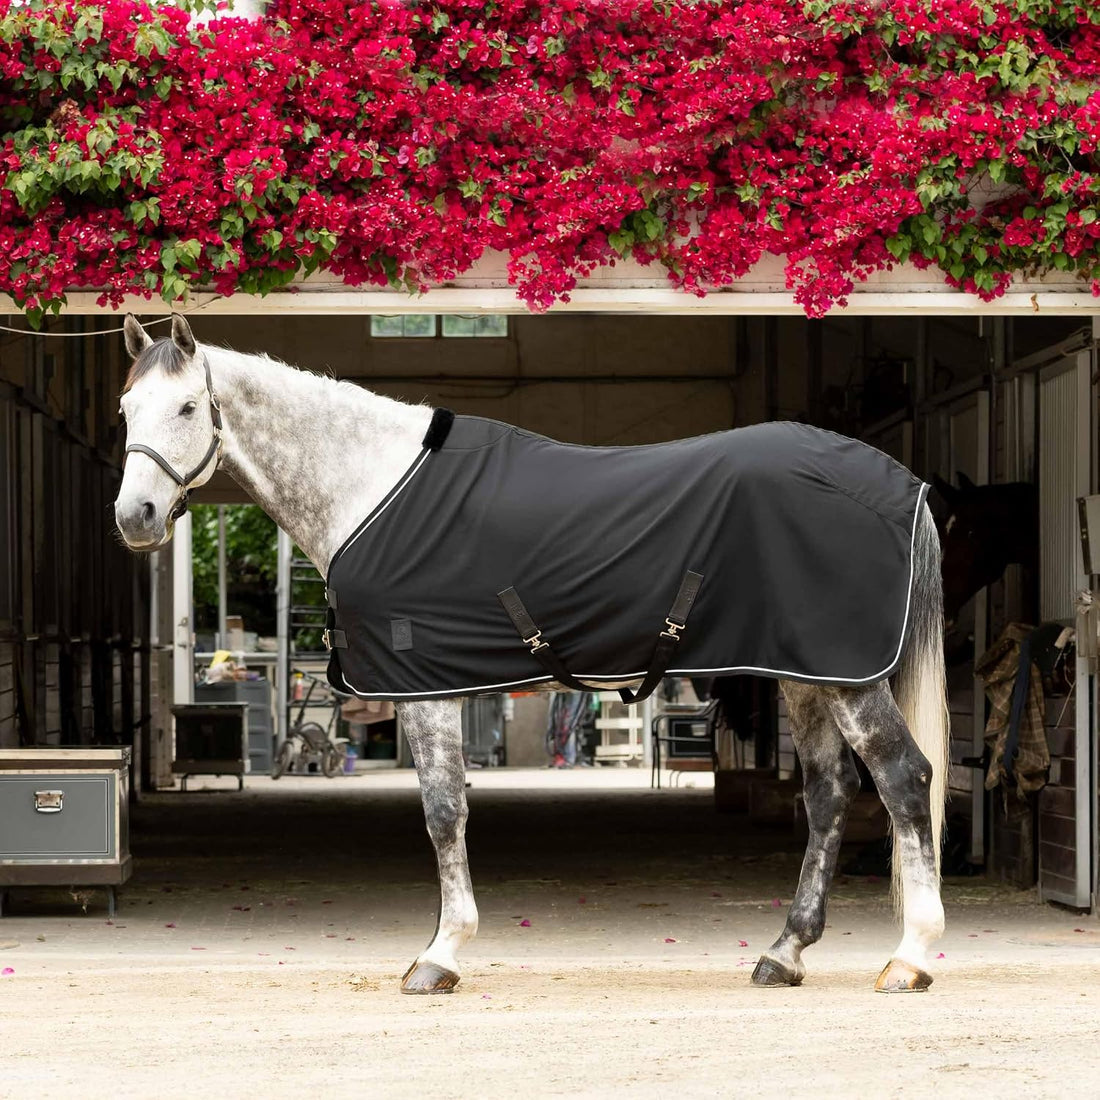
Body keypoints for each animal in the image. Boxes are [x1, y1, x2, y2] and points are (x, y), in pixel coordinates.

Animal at [113, 314, 949, 995]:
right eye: (126, 409)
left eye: (186, 408)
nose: (135, 518)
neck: (372, 486)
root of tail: (903, 484)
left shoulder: (425, 688)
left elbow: (443, 810)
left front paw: (440, 956)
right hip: (809, 677)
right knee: (830, 794)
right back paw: (785, 952)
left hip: (849, 679)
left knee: (904, 779)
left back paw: (910, 957)